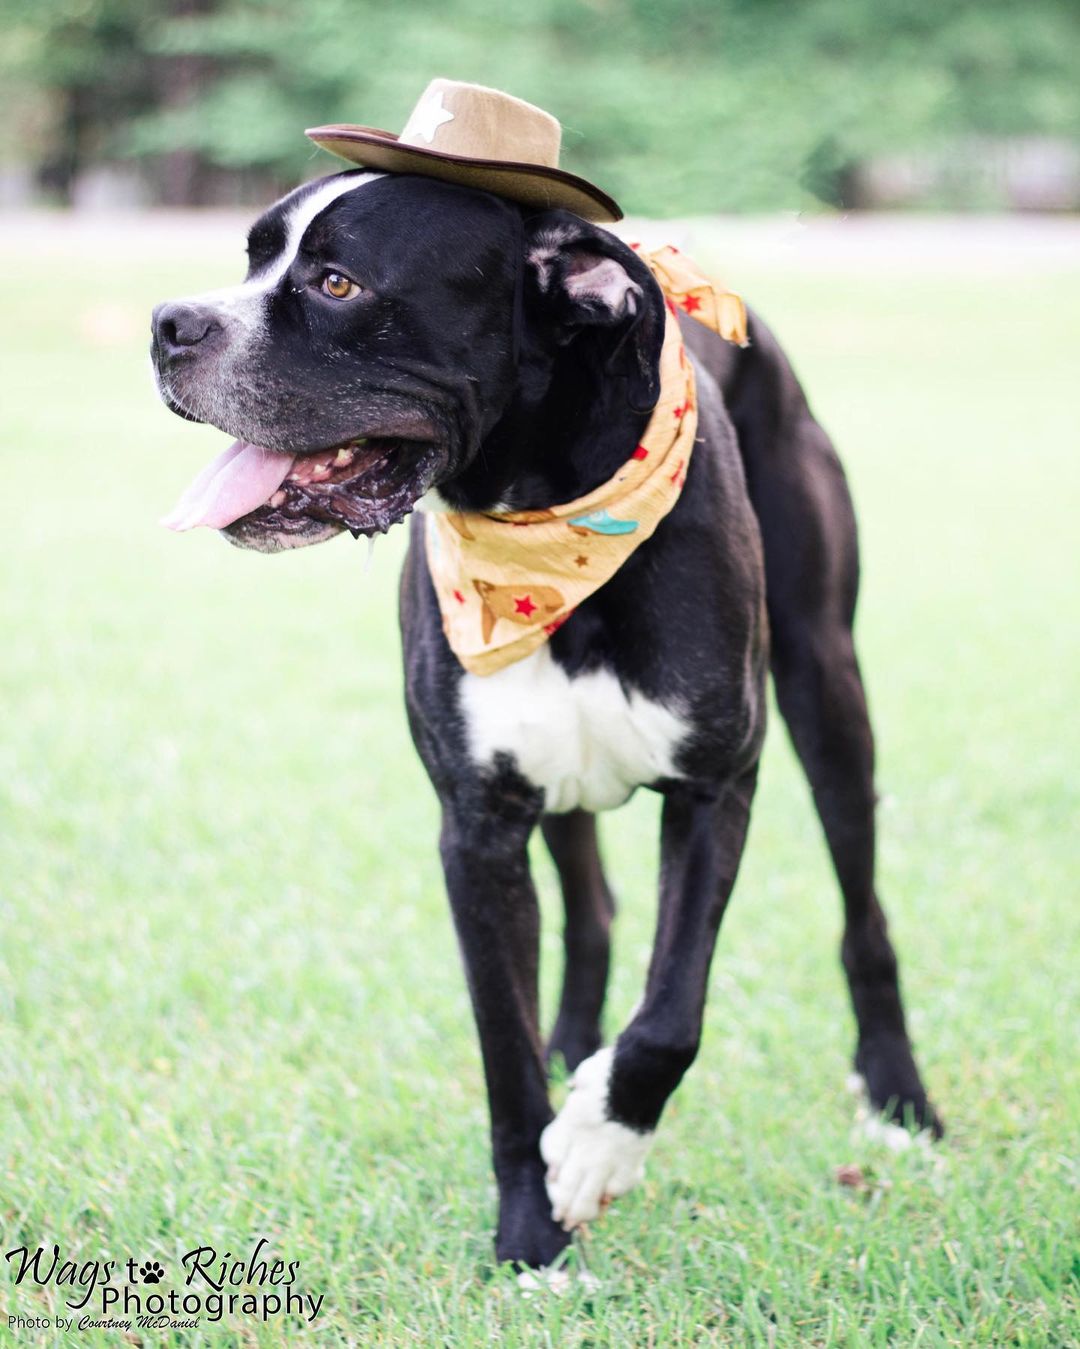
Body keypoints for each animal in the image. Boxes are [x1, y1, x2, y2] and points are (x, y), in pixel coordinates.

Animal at [153, 171, 943, 1273]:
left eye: (338, 281)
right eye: (252, 258)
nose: (169, 324)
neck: (543, 521)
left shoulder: (715, 785)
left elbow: (672, 1014)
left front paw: (601, 1144)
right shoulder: (479, 830)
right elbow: (506, 1053)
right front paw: (532, 1233)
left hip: (829, 689)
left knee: (862, 912)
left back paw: (897, 1093)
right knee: (594, 909)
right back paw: (577, 1046)